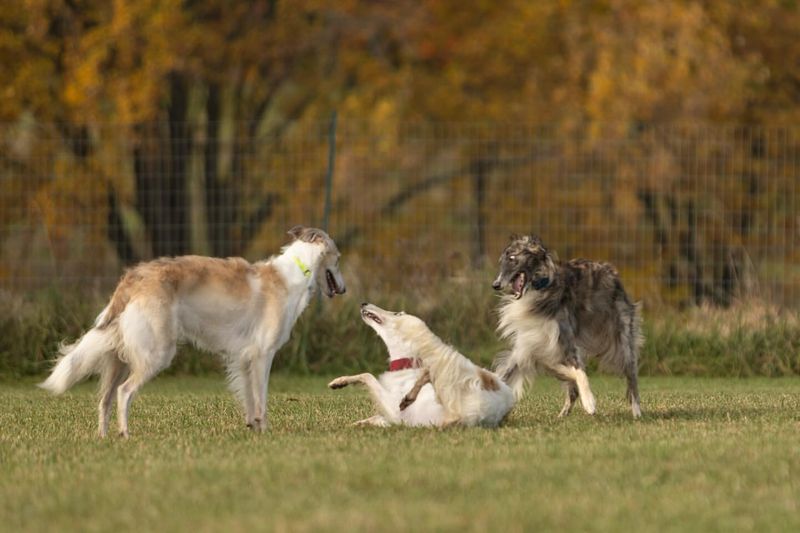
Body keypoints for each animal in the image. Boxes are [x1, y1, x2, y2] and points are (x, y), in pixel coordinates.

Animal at [40, 224, 346, 436]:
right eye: (339, 258)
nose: (344, 289)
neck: (294, 272)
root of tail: (132, 278)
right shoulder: (262, 355)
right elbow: (261, 399)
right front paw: (265, 430)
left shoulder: (244, 358)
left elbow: (249, 398)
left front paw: (253, 429)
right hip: (156, 353)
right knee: (123, 393)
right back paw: (125, 434)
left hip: (120, 358)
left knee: (104, 400)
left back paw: (104, 438)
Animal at [328, 304, 516, 428]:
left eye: (397, 313)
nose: (364, 303)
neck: (406, 364)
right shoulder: (390, 417)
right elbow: (371, 418)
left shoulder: (394, 411)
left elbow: (367, 375)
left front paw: (340, 382)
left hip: (450, 378)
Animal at [490, 235, 640, 418]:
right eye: (502, 261)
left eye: (512, 258)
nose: (496, 285)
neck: (541, 291)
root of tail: (611, 271)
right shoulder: (527, 347)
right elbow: (503, 376)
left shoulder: (566, 340)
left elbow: (579, 372)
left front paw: (589, 402)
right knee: (571, 391)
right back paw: (562, 415)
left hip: (623, 342)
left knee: (631, 378)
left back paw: (637, 411)